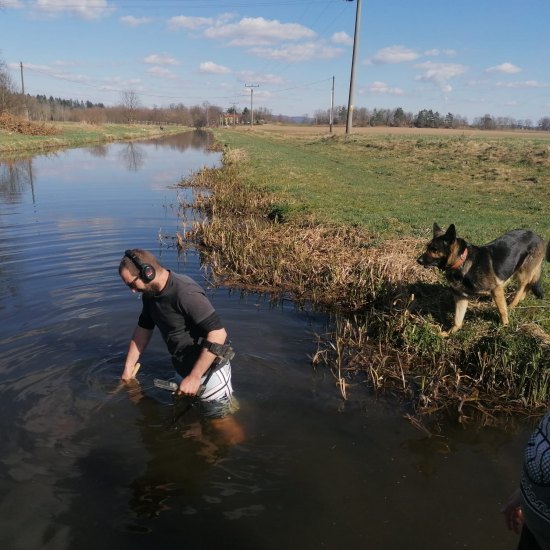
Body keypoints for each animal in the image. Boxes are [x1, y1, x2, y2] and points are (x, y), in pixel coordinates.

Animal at [418, 224, 550, 336]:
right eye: (427, 247)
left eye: (434, 249)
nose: (418, 260)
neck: (462, 262)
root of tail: (537, 236)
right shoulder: (461, 297)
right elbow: (457, 319)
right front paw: (450, 332)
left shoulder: (496, 289)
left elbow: (502, 310)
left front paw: (505, 326)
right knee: (528, 284)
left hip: (523, 273)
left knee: (523, 286)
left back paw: (513, 304)